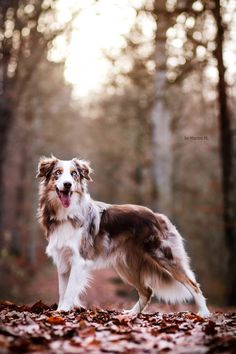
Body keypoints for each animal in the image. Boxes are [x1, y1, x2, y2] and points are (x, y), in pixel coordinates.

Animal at [37, 156, 210, 316]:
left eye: (74, 174)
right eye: (58, 173)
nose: (68, 184)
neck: (66, 214)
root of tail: (158, 216)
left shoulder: (79, 259)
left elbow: (69, 290)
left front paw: (63, 310)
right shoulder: (62, 258)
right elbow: (62, 290)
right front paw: (61, 310)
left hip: (163, 255)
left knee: (193, 284)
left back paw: (204, 313)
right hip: (127, 266)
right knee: (147, 291)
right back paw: (132, 313)